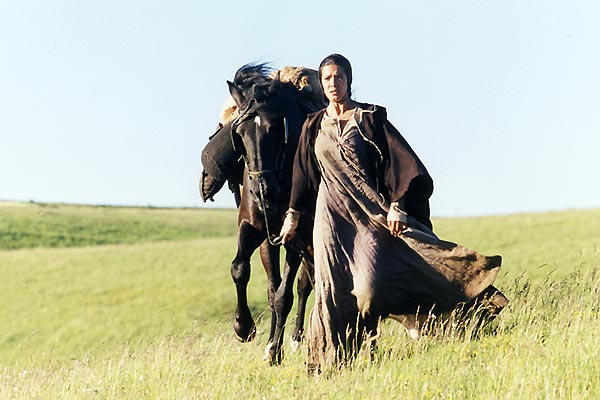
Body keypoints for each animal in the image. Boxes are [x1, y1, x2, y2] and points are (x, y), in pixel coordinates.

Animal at [204, 64, 318, 364]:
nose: (261, 190)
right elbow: (239, 269)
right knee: (275, 284)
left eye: (276, 129)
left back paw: (294, 339)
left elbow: (285, 296)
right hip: (270, 240)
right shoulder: (252, 226)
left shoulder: (296, 235)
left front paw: (274, 351)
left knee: (303, 284)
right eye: (240, 134)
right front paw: (243, 327)